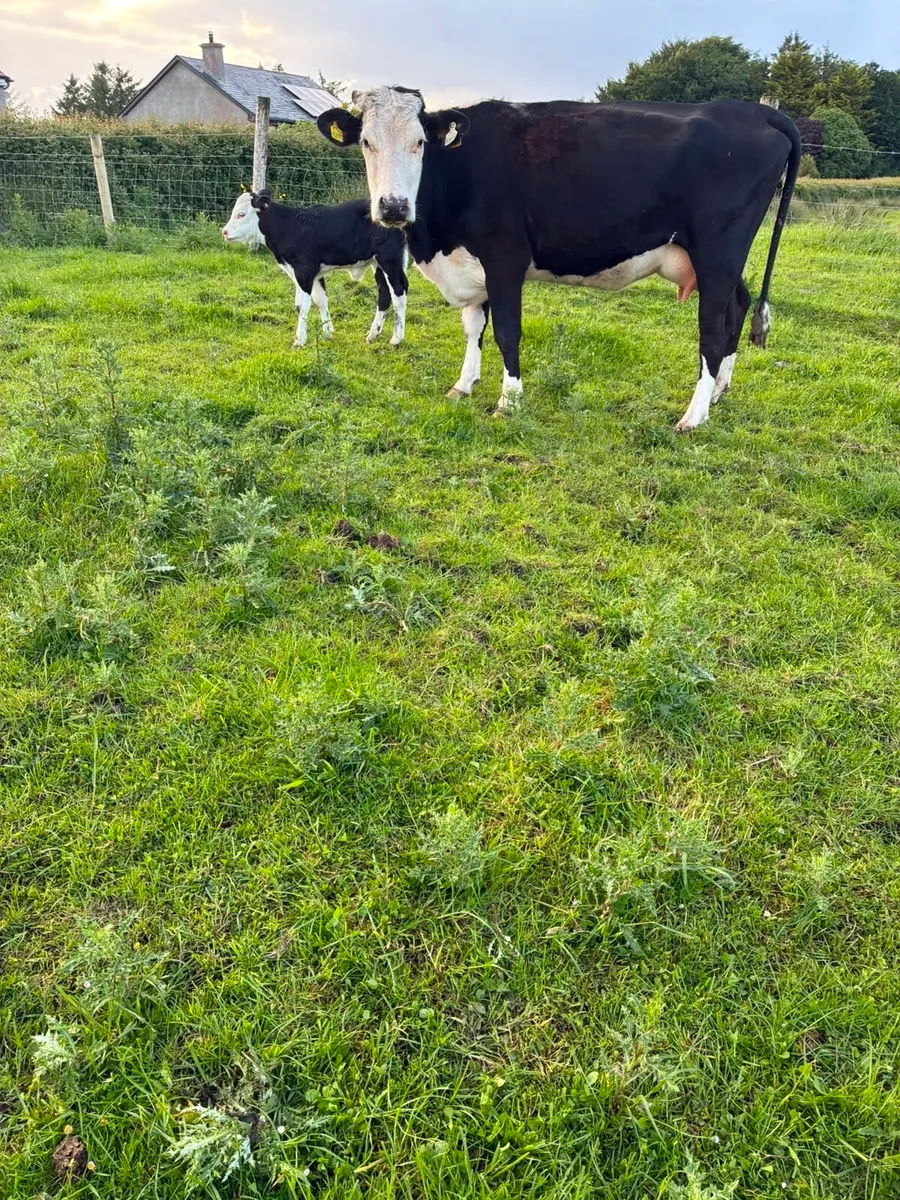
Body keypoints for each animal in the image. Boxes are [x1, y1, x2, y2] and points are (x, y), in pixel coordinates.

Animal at [222, 190, 409, 348]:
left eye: (241, 214)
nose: (224, 232)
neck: (289, 226)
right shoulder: (312, 273)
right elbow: (319, 300)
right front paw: (328, 332)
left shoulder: (304, 270)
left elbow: (302, 305)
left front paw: (299, 340)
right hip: (378, 263)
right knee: (384, 294)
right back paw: (373, 334)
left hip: (390, 259)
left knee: (399, 292)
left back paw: (396, 338)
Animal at [316, 89, 801, 430]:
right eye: (366, 142)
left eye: (419, 142)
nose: (393, 206)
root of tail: (750, 110)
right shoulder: (473, 267)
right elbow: (474, 328)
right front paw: (463, 385)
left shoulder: (505, 260)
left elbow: (507, 333)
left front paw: (509, 401)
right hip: (714, 260)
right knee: (738, 305)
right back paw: (719, 391)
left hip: (718, 253)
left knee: (712, 330)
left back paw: (694, 415)